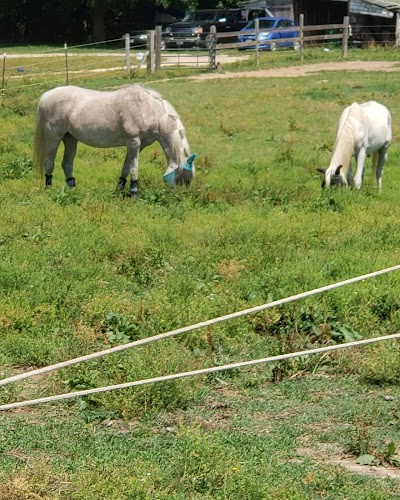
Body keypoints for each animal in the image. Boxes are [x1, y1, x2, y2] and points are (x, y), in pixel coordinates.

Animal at [33, 85, 196, 196]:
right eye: (184, 178)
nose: (180, 196)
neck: (148, 109)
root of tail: (45, 96)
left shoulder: (138, 144)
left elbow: (126, 166)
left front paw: (120, 188)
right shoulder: (134, 142)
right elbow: (134, 167)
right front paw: (134, 192)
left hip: (70, 139)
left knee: (67, 164)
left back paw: (73, 189)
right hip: (53, 138)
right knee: (49, 163)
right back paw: (49, 189)